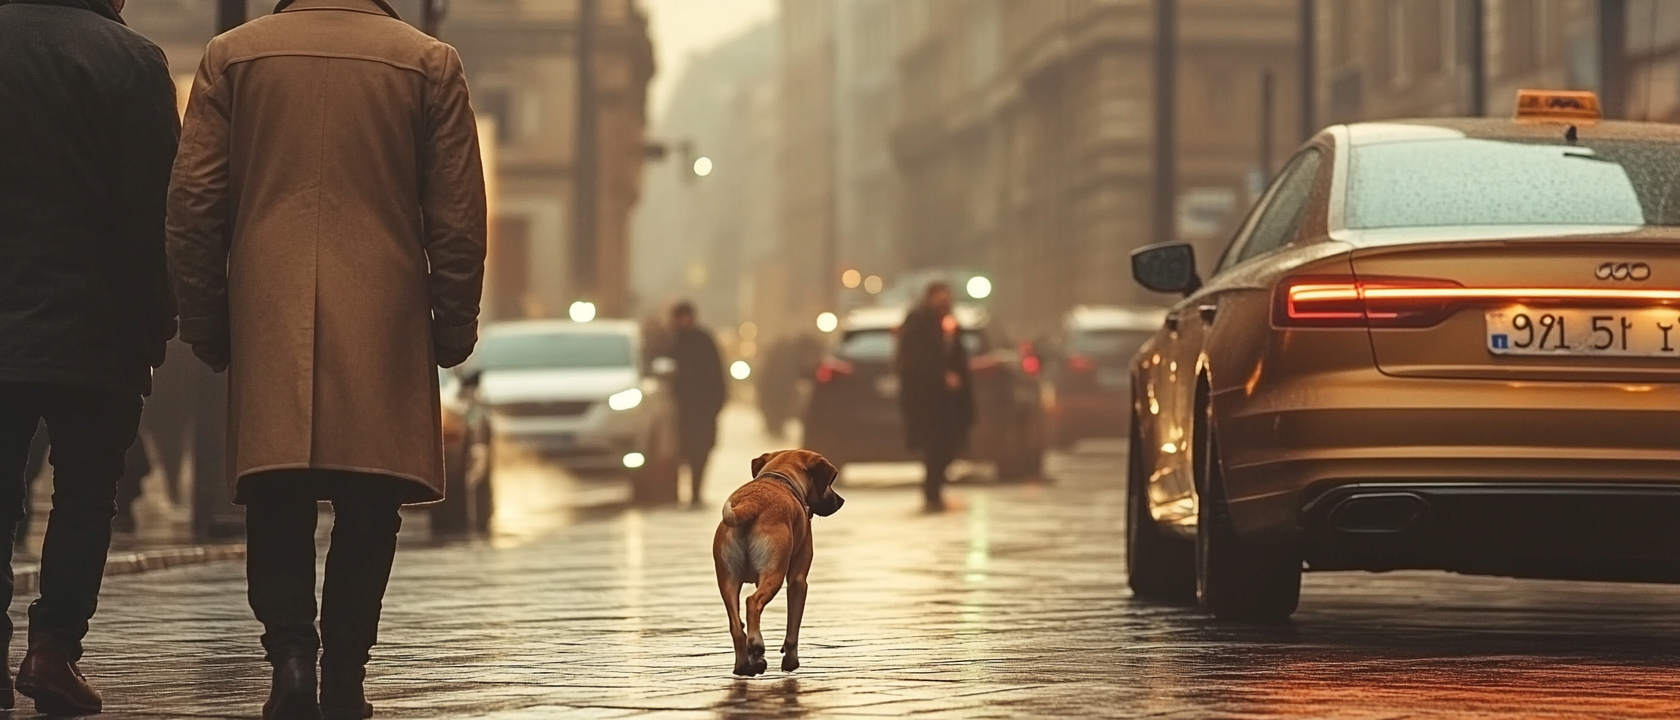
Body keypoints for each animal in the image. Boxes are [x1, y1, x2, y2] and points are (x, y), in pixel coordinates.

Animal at [712, 446, 846, 674]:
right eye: (828, 484)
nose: (841, 501)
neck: (780, 478)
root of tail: (750, 504)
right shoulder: (798, 581)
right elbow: (793, 627)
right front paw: (791, 661)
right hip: (774, 574)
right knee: (752, 602)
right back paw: (756, 646)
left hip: (727, 580)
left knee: (737, 627)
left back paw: (745, 665)